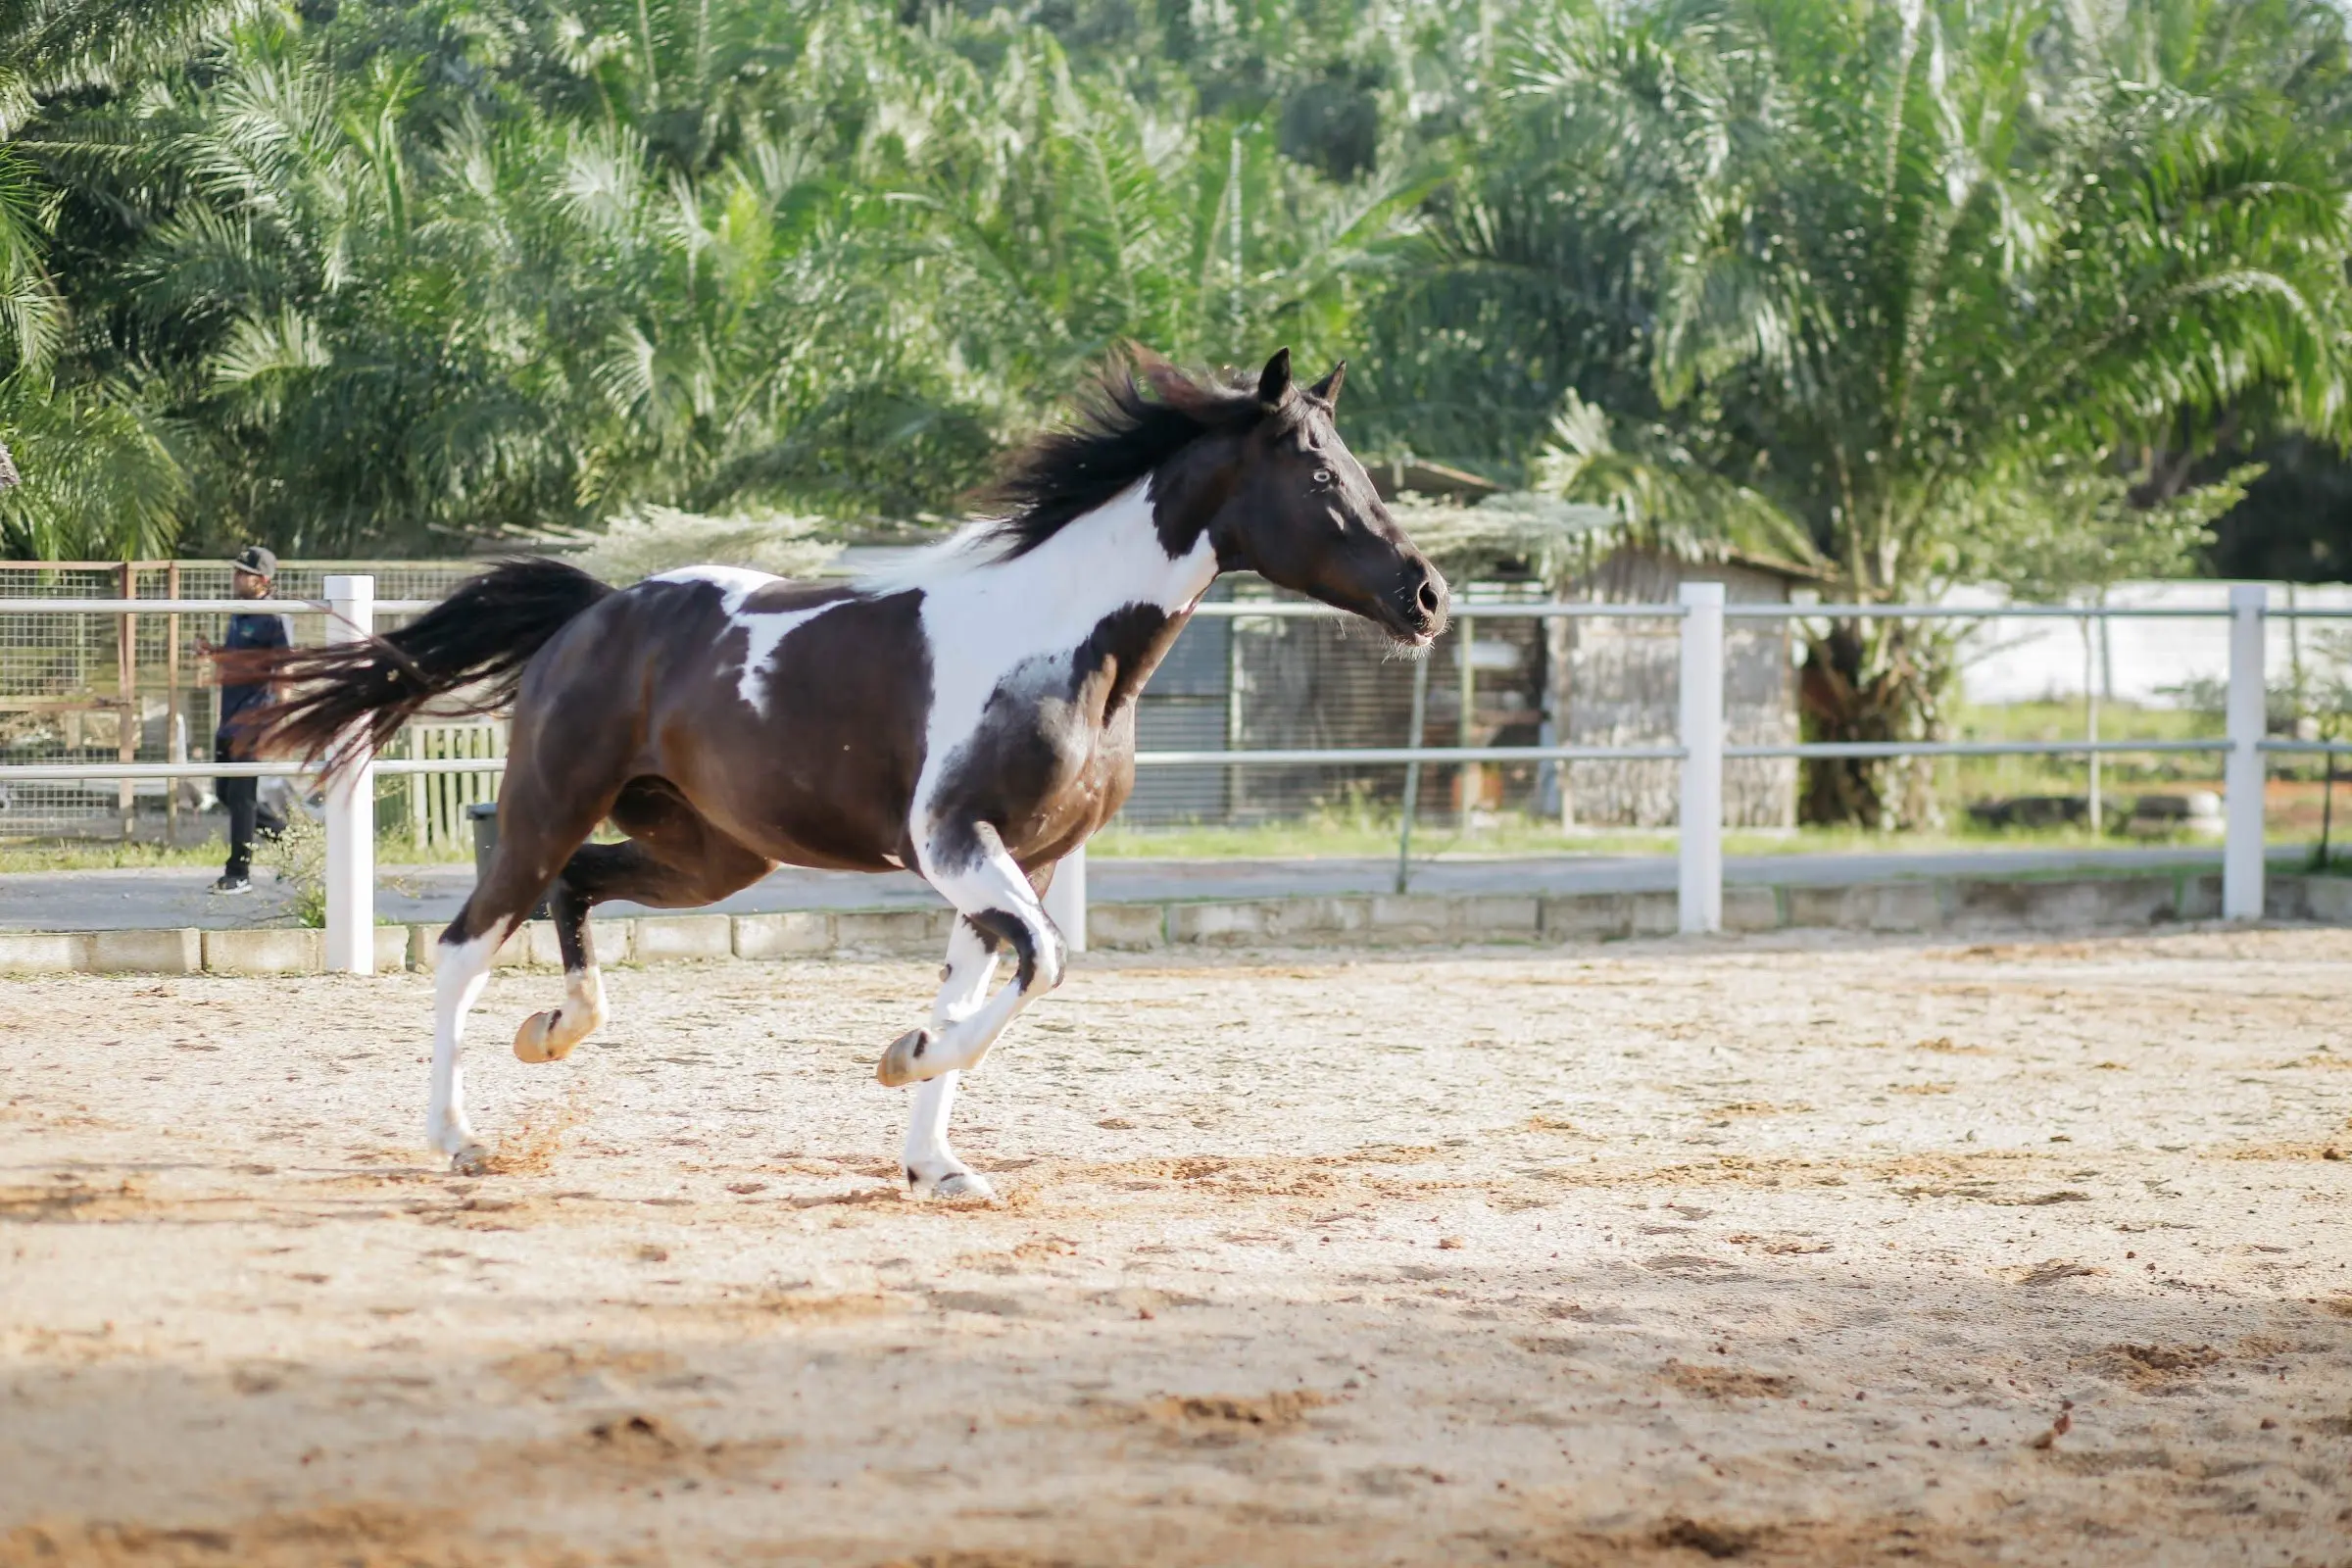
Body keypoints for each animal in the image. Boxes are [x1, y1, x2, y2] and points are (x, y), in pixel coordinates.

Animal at [234, 349, 1450, 1194]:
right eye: (1319, 471)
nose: (1426, 595)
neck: (1067, 644)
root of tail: (597, 610)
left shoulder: (1015, 863)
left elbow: (993, 978)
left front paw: (934, 1160)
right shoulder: (955, 843)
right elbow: (1041, 968)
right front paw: (904, 1059)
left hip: (710, 853)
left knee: (578, 891)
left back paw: (559, 1031)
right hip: (547, 807)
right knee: (464, 945)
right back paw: (459, 1137)